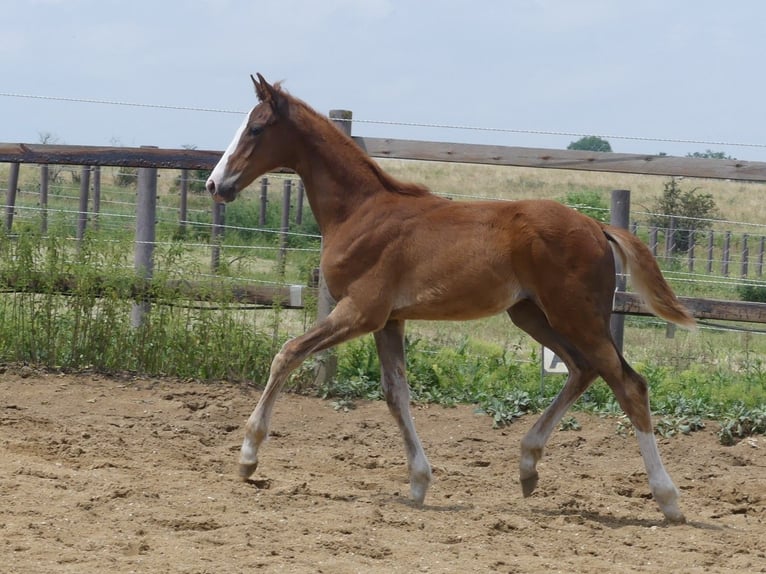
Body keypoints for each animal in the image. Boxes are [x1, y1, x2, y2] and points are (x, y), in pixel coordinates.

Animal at [207, 74, 700, 524]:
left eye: (256, 128)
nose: (215, 184)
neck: (359, 211)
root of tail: (596, 226)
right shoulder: (390, 320)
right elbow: (396, 394)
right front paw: (418, 482)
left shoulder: (361, 311)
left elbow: (287, 354)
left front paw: (248, 457)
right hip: (532, 315)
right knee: (583, 369)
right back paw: (527, 466)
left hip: (575, 314)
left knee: (628, 384)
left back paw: (669, 500)